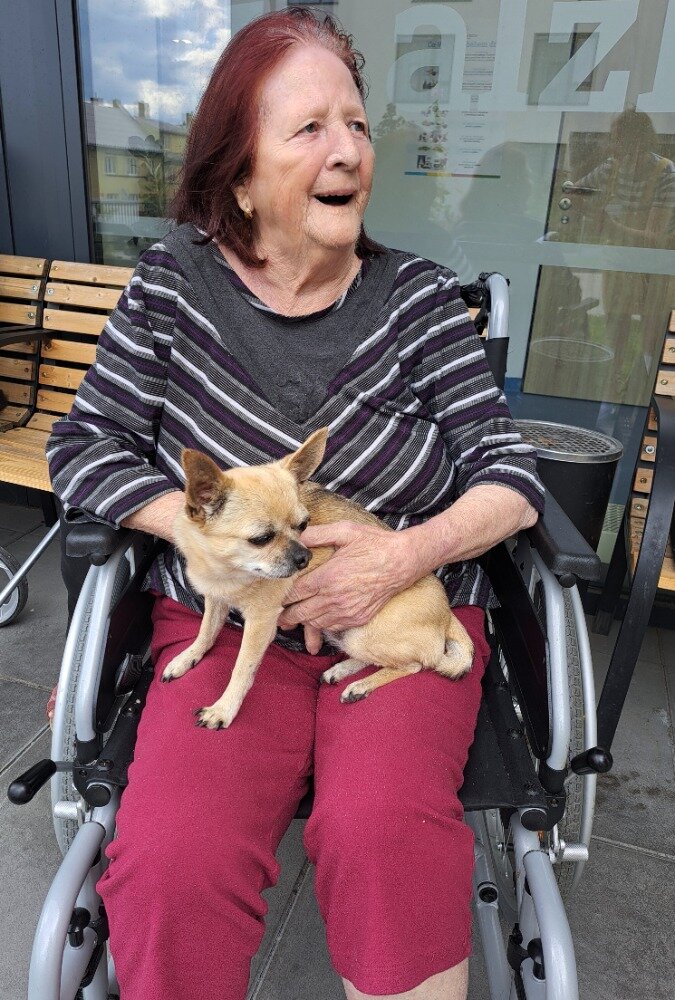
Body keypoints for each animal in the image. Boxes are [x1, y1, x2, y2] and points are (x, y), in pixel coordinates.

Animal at [162, 427, 474, 729]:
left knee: (415, 665)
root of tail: (447, 615)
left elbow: (242, 668)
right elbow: (206, 632)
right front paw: (186, 657)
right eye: (261, 539)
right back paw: (341, 671)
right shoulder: (216, 600)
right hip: (346, 634)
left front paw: (223, 709)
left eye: (304, 525)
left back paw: (361, 685)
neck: (226, 572)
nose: (305, 557)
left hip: (363, 634)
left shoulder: (261, 623)